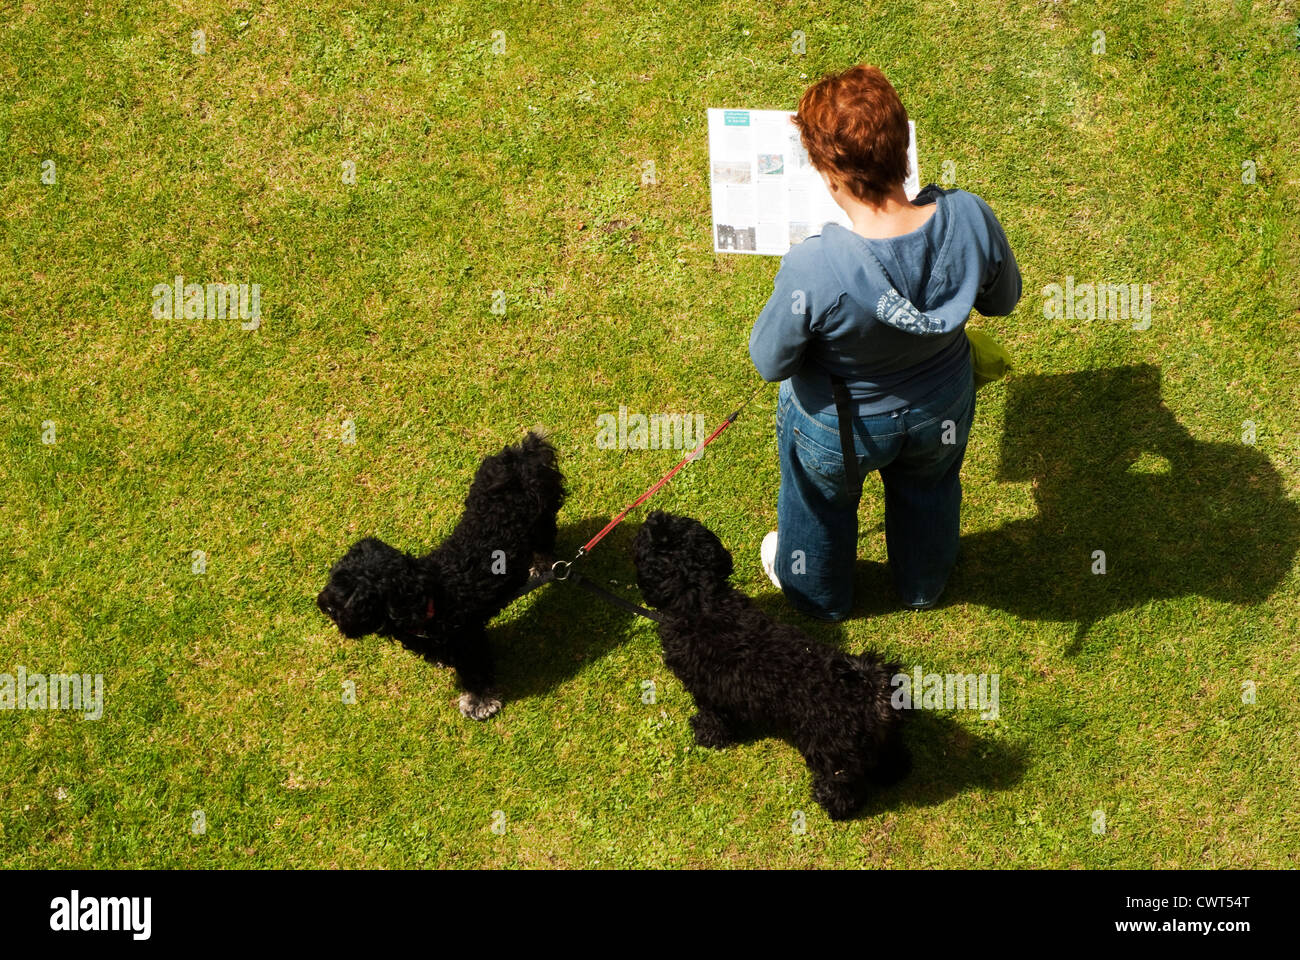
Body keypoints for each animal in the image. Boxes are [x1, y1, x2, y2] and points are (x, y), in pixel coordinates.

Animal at [315, 429, 564, 712]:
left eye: (361, 599)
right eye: (336, 577)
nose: (327, 606)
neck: (431, 596)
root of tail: (523, 455)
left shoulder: (469, 640)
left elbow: (476, 673)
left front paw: (479, 703)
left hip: (543, 521)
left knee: (544, 545)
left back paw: (542, 567)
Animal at [634, 509, 909, 816]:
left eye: (649, 537)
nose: (653, 515)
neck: (701, 600)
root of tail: (869, 690)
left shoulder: (708, 692)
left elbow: (713, 718)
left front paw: (707, 736)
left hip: (830, 753)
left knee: (843, 787)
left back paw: (830, 804)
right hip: (882, 741)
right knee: (893, 758)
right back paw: (893, 774)